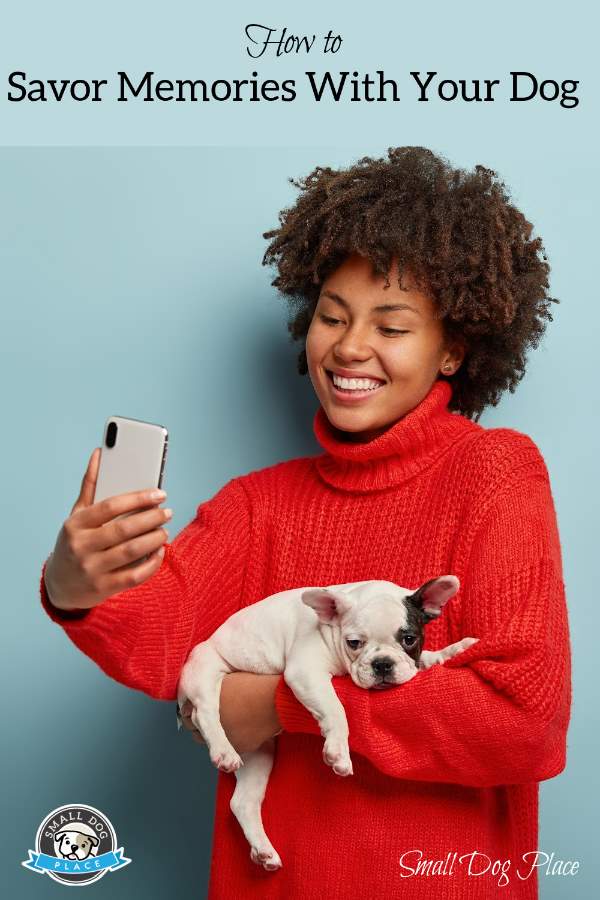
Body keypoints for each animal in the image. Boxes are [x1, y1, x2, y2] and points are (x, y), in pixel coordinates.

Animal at [176, 576, 476, 872]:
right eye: (354, 643)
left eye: (409, 639)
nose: (382, 664)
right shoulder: (306, 671)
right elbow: (335, 709)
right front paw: (338, 752)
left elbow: (426, 658)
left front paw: (452, 650)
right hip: (205, 670)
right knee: (205, 712)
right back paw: (223, 751)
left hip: (259, 753)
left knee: (242, 802)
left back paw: (263, 851)